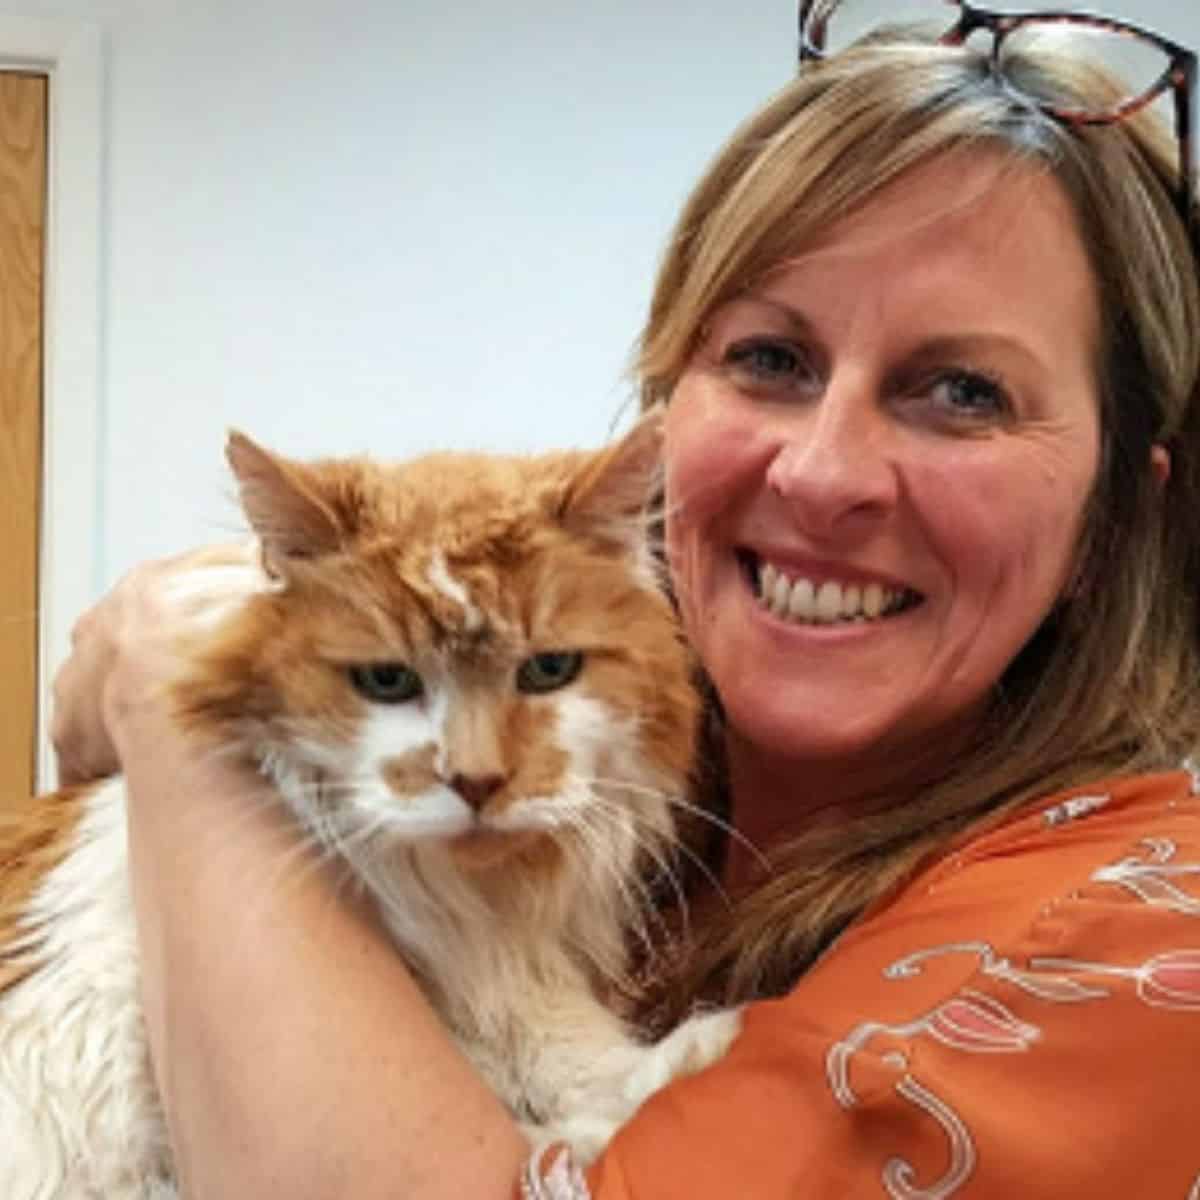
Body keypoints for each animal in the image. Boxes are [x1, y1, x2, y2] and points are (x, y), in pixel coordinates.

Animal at [0, 422, 739, 1200]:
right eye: (386, 681)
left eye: (548, 670)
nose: (477, 780)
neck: (467, 912)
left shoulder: (521, 977)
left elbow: (571, 1053)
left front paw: (676, 1058)